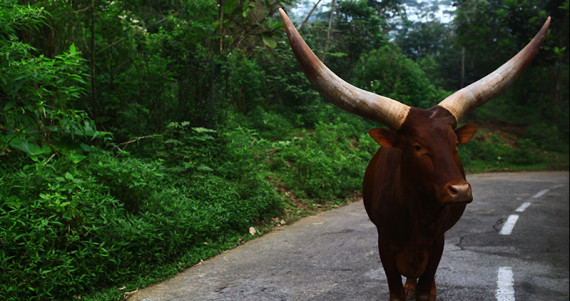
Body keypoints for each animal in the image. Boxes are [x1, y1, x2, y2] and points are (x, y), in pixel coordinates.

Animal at [278, 8, 548, 298]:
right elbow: (396, 291)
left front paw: (428, 291)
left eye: (455, 143)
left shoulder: (437, 243)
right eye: (417, 146)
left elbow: (425, 287)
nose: (460, 190)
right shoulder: (384, 244)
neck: (417, 216)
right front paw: (404, 289)